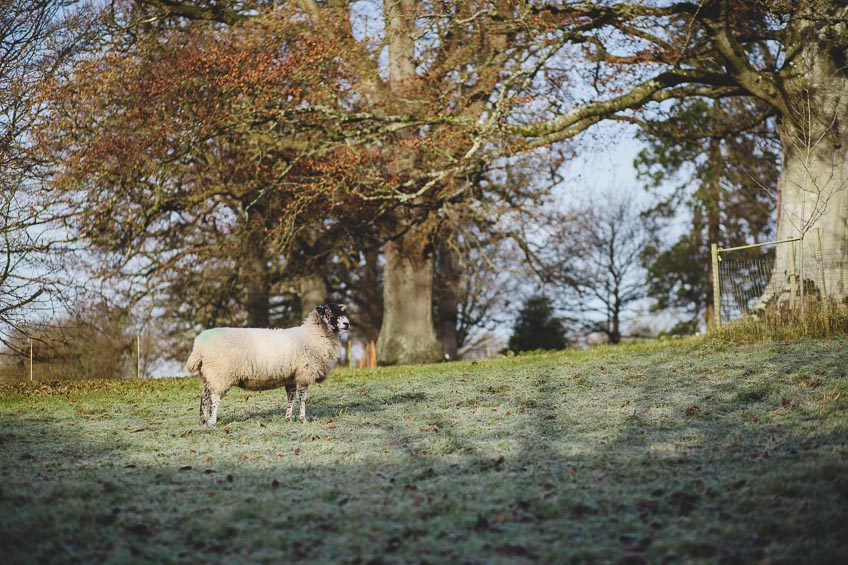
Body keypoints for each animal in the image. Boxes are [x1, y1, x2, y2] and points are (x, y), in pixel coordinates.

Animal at [186, 302, 352, 426]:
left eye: (341, 310)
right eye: (328, 311)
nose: (347, 323)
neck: (313, 335)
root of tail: (199, 344)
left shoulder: (291, 377)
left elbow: (291, 398)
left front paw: (288, 418)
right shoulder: (303, 374)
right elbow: (303, 398)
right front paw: (303, 419)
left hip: (207, 375)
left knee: (204, 397)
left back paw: (202, 421)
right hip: (220, 374)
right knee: (214, 398)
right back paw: (212, 422)